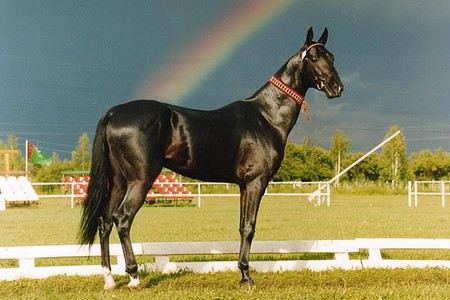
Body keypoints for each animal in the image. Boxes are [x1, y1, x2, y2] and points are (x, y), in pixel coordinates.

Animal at [79, 27, 342, 290]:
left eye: (331, 57)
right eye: (314, 58)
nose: (337, 88)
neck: (265, 117)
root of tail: (113, 113)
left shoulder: (243, 185)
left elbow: (242, 226)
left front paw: (242, 273)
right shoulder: (256, 182)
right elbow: (249, 227)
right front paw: (247, 278)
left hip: (118, 181)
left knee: (105, 222)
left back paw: (109, 279)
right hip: (140, 180)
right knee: (122, 219)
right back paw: (134, 277)